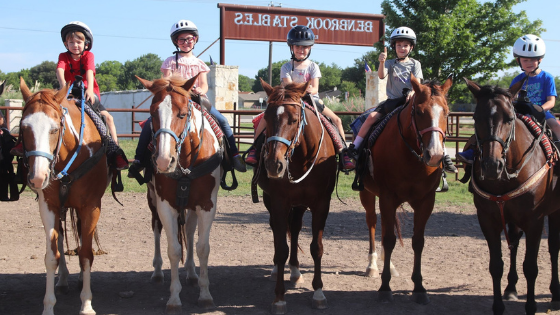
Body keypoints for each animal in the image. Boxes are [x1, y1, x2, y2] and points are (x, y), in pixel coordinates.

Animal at [18, 77, 109, 315]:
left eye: (54, 128)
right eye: (24, 127)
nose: (38, 177)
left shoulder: (91, 207)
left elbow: (86, 255)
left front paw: (86, 304)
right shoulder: (48, 205)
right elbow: (51, 256)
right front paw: (48, 306)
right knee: (59, 239)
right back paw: (63, 280)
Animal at [258, 79, 340, 315]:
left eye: (294, 120)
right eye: (266, 118)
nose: (273, 165)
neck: (301, 158)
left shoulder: (321, 204)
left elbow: (316, 248)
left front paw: (319, 293)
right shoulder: (278, 202)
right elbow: (281, 248)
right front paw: (279, 298)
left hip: (300, 205)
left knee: (294, 229)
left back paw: (295, 272)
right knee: (280, 232)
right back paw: (278, 270)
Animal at [358, 74, 456, 304]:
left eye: (446, 112)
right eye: (419, 112)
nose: (435, 155)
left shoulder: (426, 201)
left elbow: (418, 242)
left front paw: (419, 287)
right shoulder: (387, 197)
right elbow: (389, 240)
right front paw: (385, 287)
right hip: (368, 193)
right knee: (373, 224)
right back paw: (372, 266)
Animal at [466, 78, 560, 315]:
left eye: (509, 118)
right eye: (476, 117)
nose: (492, 166)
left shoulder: (535, 221)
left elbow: (531, 267)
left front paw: (531, 307)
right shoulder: (488, 220)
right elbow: (496, 266)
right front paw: (498, 306)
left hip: (555, 211)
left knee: (554, 247)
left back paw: (555, 295)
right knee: (515, 243)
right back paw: (511, 288)